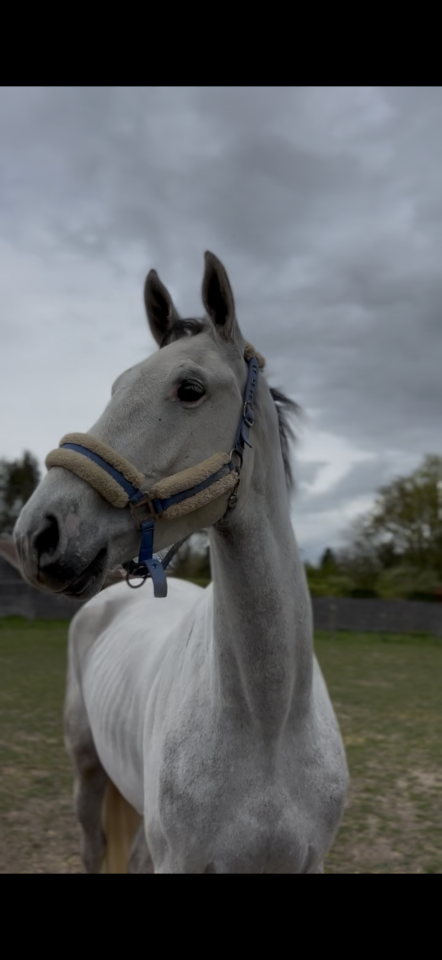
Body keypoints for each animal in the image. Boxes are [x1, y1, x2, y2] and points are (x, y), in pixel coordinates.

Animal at [14, 251, 348, 874]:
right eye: (116, 386)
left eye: (189, 389)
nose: (36, 534)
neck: (268, 722)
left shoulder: (308, 861)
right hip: (88, 774)